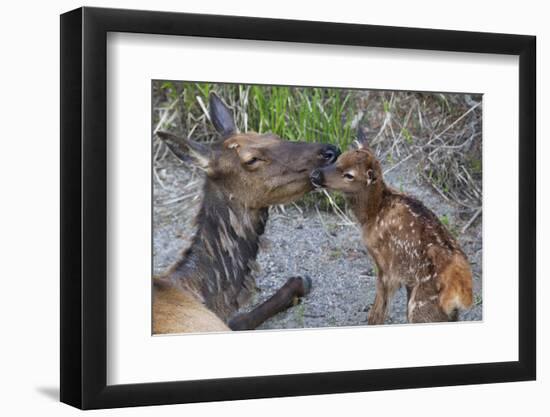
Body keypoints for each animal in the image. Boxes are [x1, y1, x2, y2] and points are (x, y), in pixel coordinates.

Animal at [152, 92, 340, 334]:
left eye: (272, 135)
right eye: (251, 159)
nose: (330, 151)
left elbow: (240, 319)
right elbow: (240, 319)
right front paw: (298, 282)